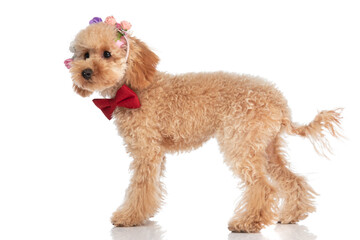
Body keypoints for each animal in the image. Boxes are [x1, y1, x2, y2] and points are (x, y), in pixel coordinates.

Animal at [64, 16, 344, 232]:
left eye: (107, 54)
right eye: (85, 55)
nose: (85, 72)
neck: (134, 89)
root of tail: (279, 101)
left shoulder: (146, 151)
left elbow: (140, 186)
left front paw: (129, 217)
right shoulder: (154, 153)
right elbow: (150, 187)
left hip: (240, 144)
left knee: (263, 186)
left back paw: (247, 223)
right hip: (266, 146)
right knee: (292, 179)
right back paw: (292, 215)